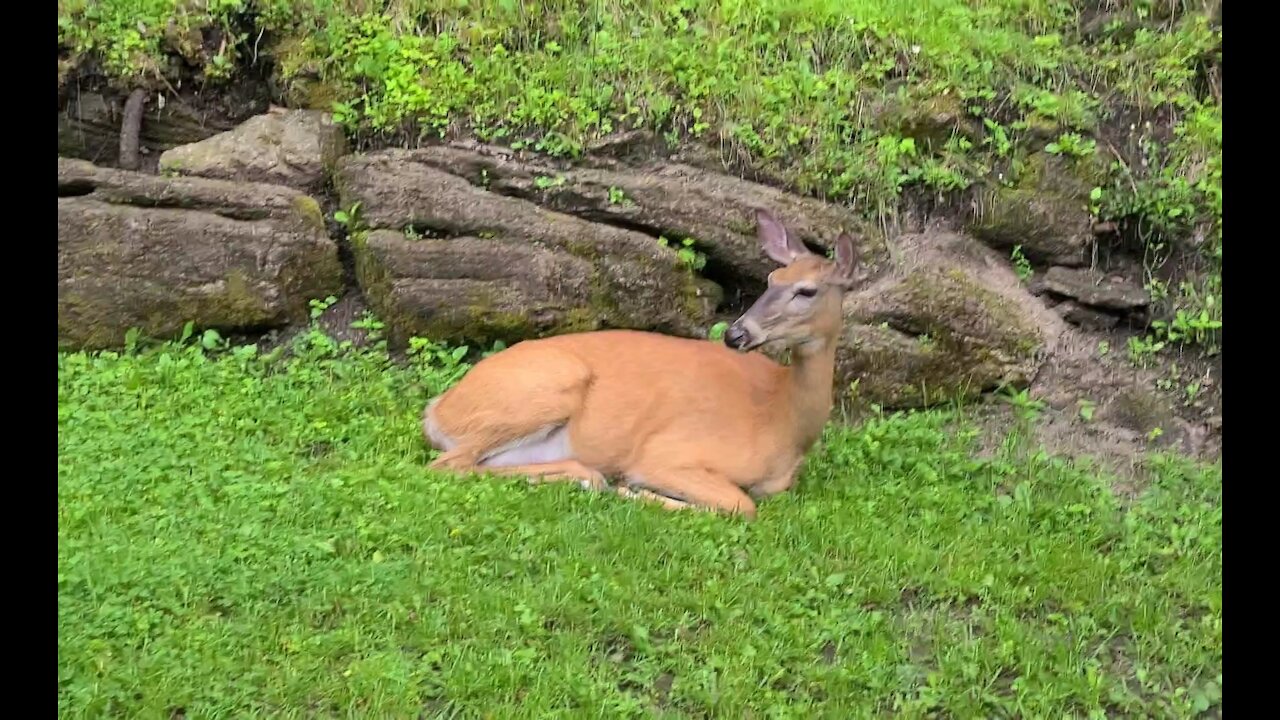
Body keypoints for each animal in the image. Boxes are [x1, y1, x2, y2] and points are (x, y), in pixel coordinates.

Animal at [422, 207, 860, 515]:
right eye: (770, 281)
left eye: (806, 290)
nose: (736, 334)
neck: (782, 421)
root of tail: (437, 410)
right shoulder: (666, 453)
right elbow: (742, 504)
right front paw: (634, 491)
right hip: (544, 388)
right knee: (448, 463)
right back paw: (596, 479)